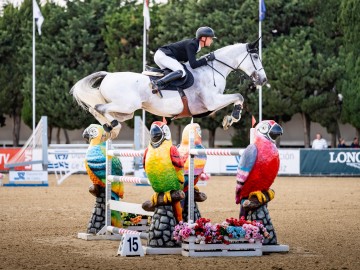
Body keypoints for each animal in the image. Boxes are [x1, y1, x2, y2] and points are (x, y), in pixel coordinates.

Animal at [71, 38, 268, 138]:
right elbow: (238, 96)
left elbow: (237, 97)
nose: (263, 79)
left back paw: (111, 128)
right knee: (99, 108)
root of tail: (108, 76)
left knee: (96, 109)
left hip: (127, 111)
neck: (213, 69)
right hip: (127, 105)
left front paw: (229, 118)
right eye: (256, 56)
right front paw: (232, 117)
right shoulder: (211, 102)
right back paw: (114, 126)